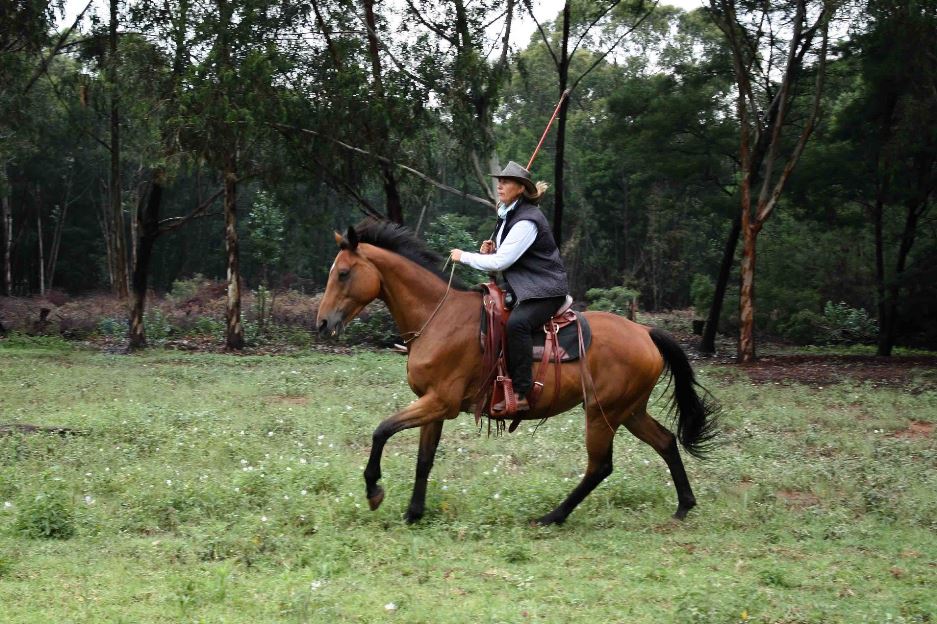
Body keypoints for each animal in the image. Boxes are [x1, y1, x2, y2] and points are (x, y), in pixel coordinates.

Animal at [316, 222, 716, 524]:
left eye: (344, 273)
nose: (322, 323)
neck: (439, 318)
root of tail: (645, 332)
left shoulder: (440, 402)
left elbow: (382, 430)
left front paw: (374, 490)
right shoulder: (433, 405)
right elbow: (424, 460)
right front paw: (414, 513)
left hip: (603, 414)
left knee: (600, 466)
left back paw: (553, 516)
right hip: (628, 410)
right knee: (665, 441)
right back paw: (684, 505)